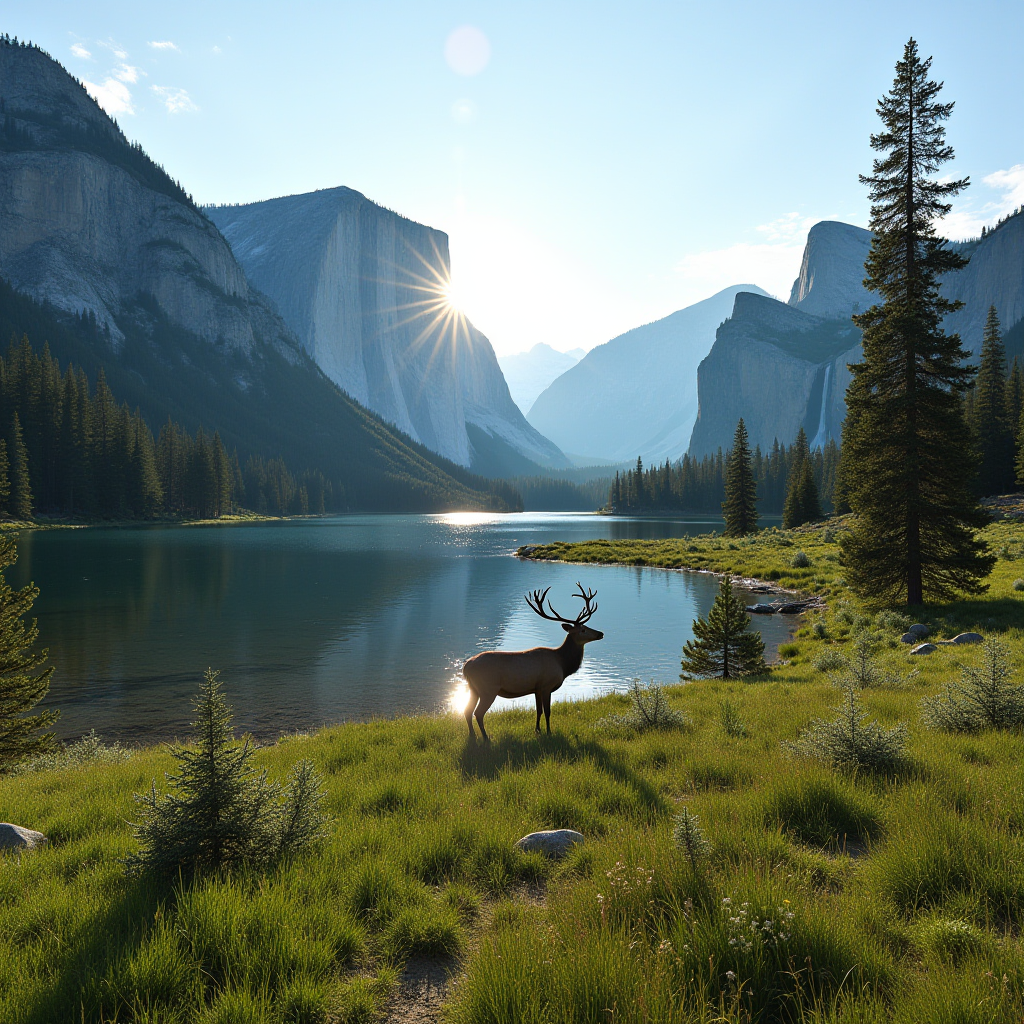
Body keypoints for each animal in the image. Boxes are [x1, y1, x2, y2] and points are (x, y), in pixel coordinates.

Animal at [462, 585, 602, 745]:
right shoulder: (546, 685)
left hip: (473, 689)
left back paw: (472, 736)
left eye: (586, 625)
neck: (562, 663)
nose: (601, 633)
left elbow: (538, 710)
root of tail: (466, 667)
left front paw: (537, 730)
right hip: (488, 688)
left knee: (467, 710)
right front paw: (549, 732)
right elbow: (547, 711)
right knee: (478, 713)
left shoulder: (537, 688)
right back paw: (486, 738)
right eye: (583, 629)